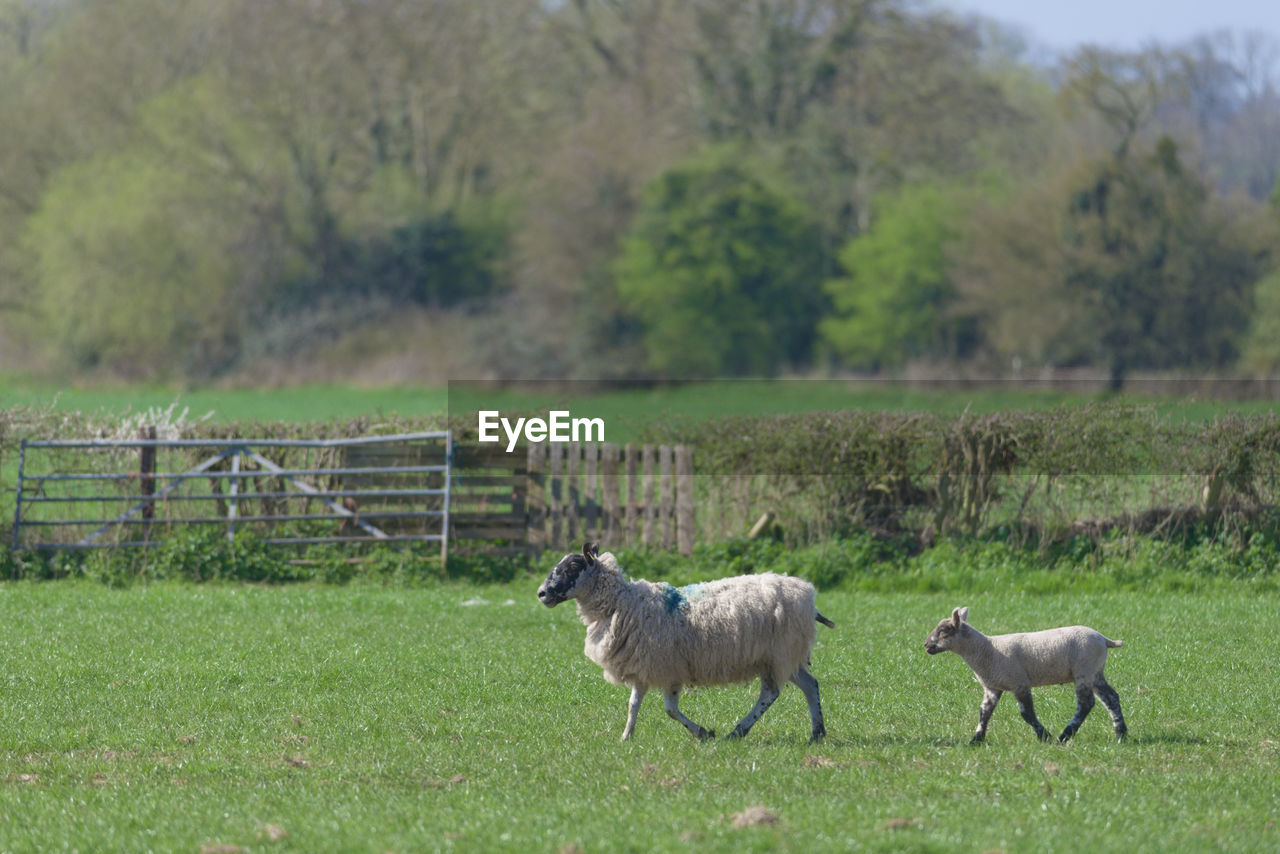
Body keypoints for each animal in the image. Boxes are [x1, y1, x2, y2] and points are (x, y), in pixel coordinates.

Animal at [535, 547, 834, 742]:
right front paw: (626, 737)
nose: (541, 593)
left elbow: (670, 710)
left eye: (572, 567)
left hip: (778, 653)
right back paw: (816, 734)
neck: (623, 603)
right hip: (785, 655)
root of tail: (806, 593)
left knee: (770, 693)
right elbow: (634, 705)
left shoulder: (668, 667)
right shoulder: (643, 665)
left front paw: (703, 733)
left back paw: (738, 731)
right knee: (810, 684)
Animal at [926, 606, 1126, 742]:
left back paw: (1064, 736)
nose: (926, 645)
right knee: (1111, 698)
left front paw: (1044, 736)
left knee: (1086, 704)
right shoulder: (992, 687)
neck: (987, 649)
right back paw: (1121, 734)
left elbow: (1026, 713)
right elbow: (984, 712)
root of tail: (1103, 639)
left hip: (1083, 671)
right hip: (1095, 672)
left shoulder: (1019, 682)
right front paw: (976, 740)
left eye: (944, 630)